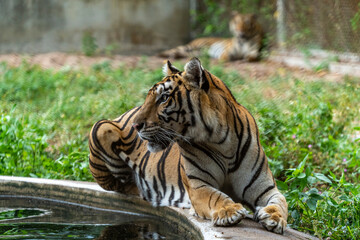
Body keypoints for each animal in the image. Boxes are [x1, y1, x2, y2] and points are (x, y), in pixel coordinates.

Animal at [88, 57, 288, 233]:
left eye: (163, 98)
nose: (135, 126)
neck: (223, 141)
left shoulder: (265, 188)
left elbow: (281, 201)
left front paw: (274, 218)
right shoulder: (198, 185)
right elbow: (215, 196)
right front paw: (229, 211)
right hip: (100, 127)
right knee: (119, 185)